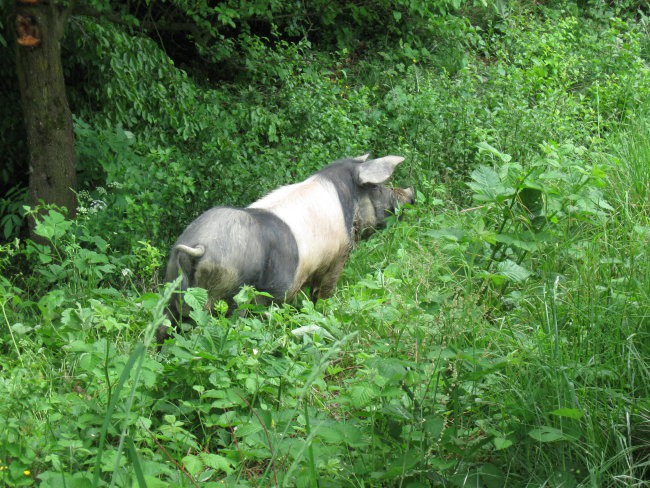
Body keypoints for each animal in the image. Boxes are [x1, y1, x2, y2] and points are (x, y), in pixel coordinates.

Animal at [156, 154, 410, 342]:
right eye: (377, 188)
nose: (412, 196)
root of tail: (198, 247)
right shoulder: (337, 257)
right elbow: (323, 294)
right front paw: (323, 313)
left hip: (171, 288)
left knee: (164, 329)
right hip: (231, 294)